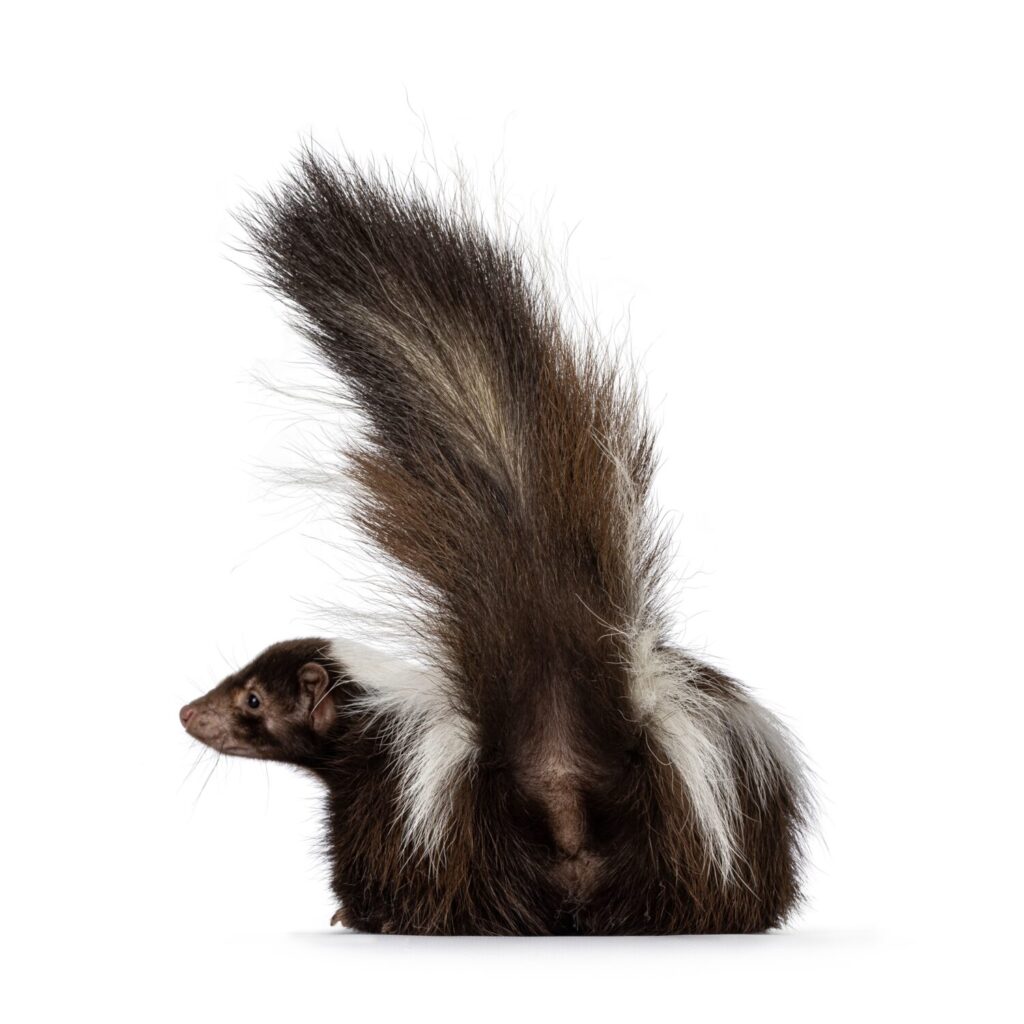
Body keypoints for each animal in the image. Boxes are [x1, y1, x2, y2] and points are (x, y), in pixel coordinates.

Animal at [180, 151, 811, 937]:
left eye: (252, 699)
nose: (187, 713)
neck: (376, 713)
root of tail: (562, 773)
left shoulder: (387, 796)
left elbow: (370, 855)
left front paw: (351, 914)